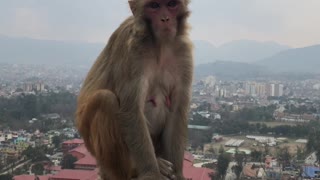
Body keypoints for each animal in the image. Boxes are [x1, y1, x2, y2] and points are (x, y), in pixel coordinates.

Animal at [75, 0, 192, 179]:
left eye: (171, 4)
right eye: (154, 6)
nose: (165, 19)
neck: (160, 45)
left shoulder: (183, 52)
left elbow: (177, 110)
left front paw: (178, 173)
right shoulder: (131, 50)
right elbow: (131, 109)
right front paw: (151, 173)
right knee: (105, 99)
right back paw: (136, 169)